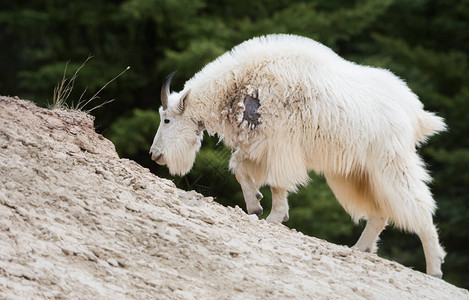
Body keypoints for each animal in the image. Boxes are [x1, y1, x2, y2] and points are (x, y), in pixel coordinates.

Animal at [150, 34, 446, 278]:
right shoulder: (258, 145)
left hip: (390, 161)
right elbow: (240, 170)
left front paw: (274, 216)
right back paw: (359, 248)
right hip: (354, 173)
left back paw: (434, 269)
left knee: (418, 206)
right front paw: (255, 204)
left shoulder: (280, 145)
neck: (241, 85)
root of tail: (416, 114)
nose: (154, 155)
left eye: (166, 119)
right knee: (379, 213)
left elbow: (277, 182)